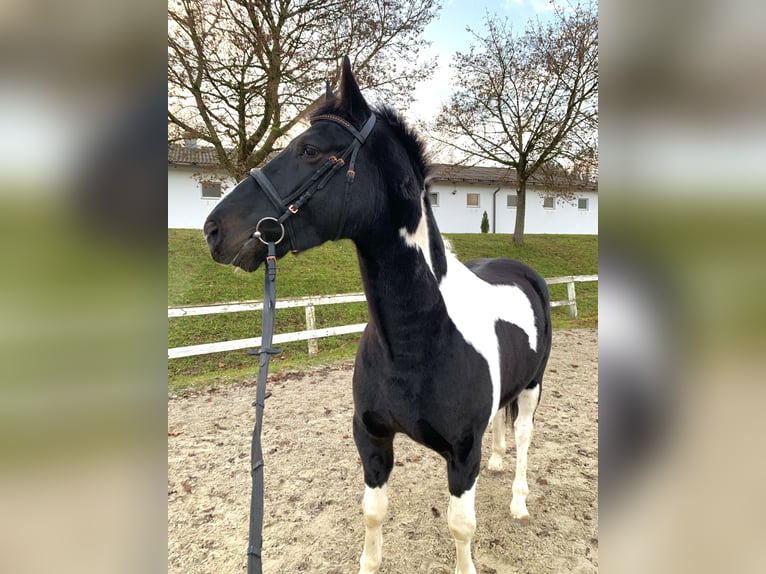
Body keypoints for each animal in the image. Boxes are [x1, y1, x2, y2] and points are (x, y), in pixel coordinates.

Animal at [204, 55, 552, 574]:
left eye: (310, 150)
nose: (214, 230)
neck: (415, 338)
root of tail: (521, 270)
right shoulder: (371, 438)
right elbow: (372, 512)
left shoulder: (461, 454)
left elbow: (461, 527)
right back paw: (497, 462)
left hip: (532, 386)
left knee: (525, 437)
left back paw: (519, 502)